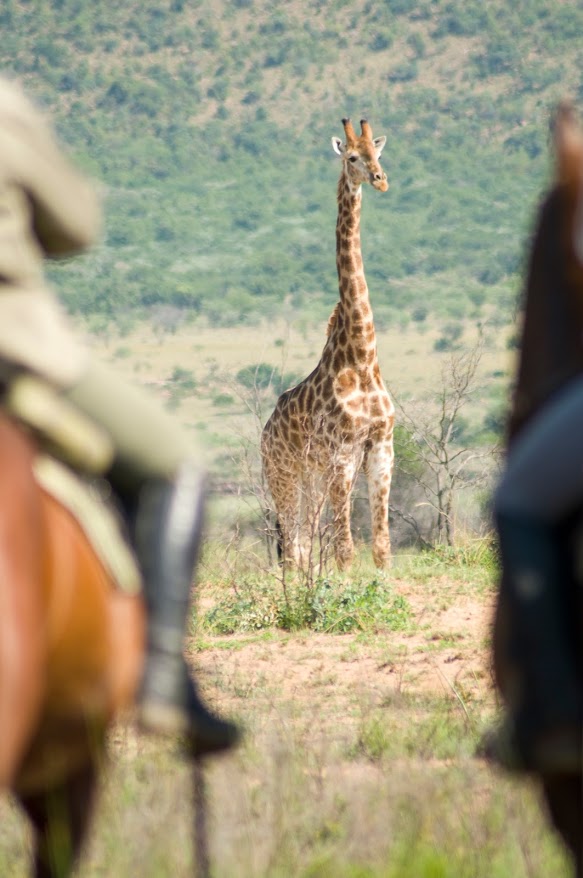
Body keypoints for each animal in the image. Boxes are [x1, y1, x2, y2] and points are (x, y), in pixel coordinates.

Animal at [262, 118, 394, 572]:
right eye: (352, 157)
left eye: (378, 152)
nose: (380, 179)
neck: (363, 356)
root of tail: (264, 432)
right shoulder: (342, 453)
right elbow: (344, 548)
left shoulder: (380, 447)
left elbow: (381, 545)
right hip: (283, 476)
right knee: (291, 548)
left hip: (311, 478)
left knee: (302, 542)